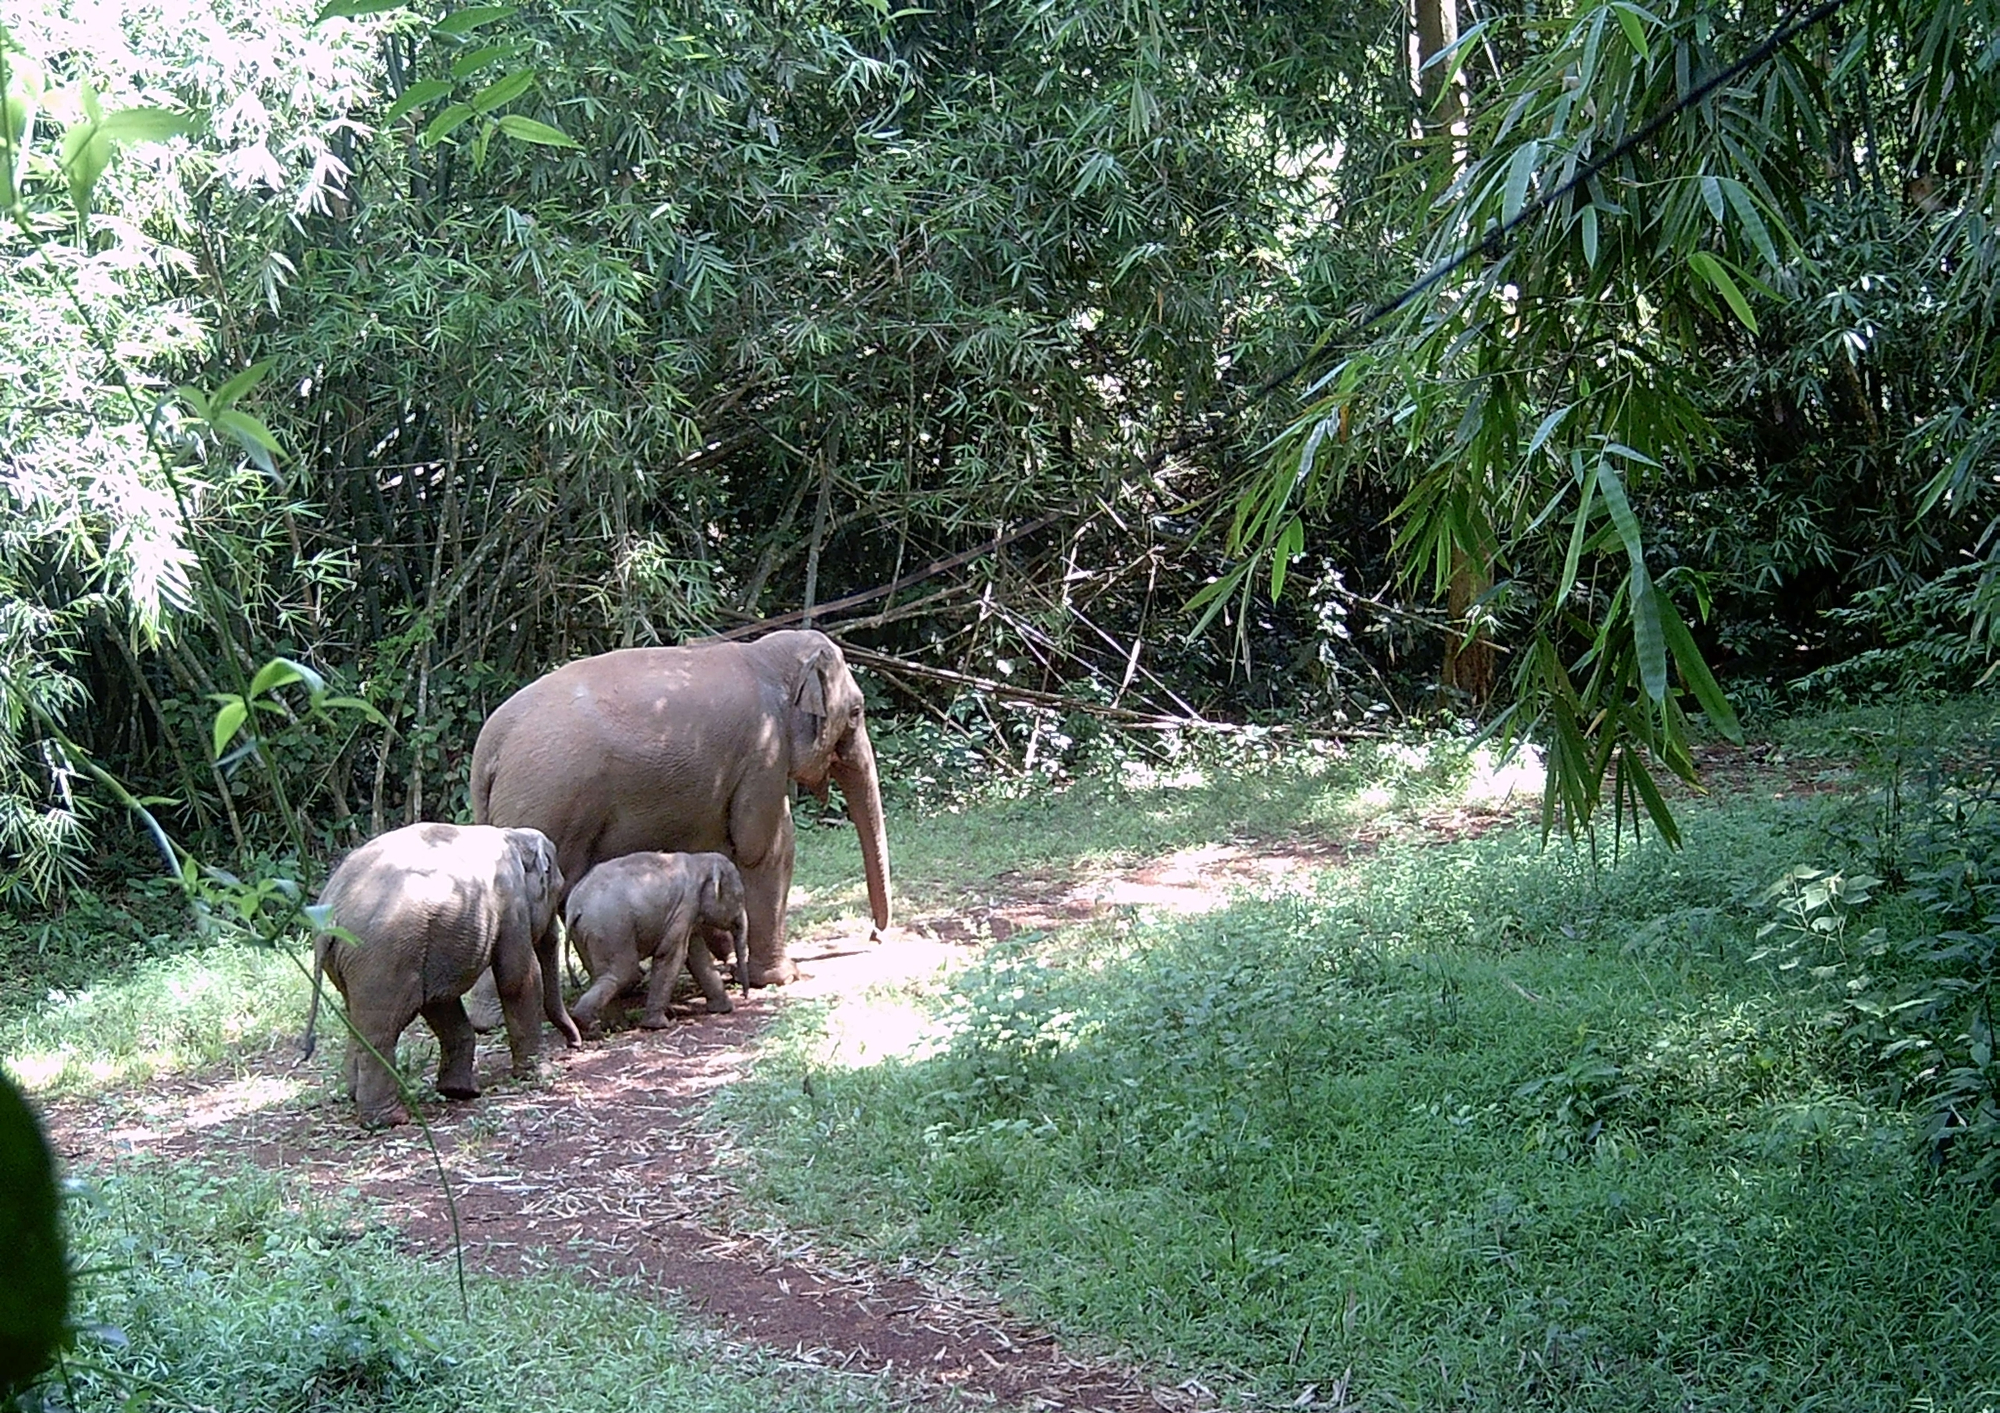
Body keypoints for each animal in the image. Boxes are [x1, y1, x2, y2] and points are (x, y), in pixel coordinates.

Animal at [302, 816, 580, 1120]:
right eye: (556, 890)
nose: (574, 1044)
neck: (512, 836)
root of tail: (330, 914)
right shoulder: (512, 903)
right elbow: (516, 979)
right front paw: (542, 1074)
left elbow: (440, 1001)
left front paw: (458, 1091)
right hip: (383, 958)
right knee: (381, 1029)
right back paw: (390, 1119)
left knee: (358, 1016)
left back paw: (353, 1095)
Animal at [468, 628, 892, 980]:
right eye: (856, 712)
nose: (874, 935)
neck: (766, 654)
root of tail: (489, 747)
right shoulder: (763, 751)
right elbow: (765, 847)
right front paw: (780, 977)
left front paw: (724, 953)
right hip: (552, 798)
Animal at [568, 848, 752, 1032]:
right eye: (739, 896)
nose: (745, 996)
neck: (700, 860)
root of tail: (575, 906)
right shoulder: (684, 907)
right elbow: (672, 956)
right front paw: (659, 1025)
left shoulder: (687, 915)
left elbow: (697, 957)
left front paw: (724, 1009)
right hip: (611, 928)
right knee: (622, 972)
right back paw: (583, 1022)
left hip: (586, 933)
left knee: (599, 973)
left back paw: (613, 1027)